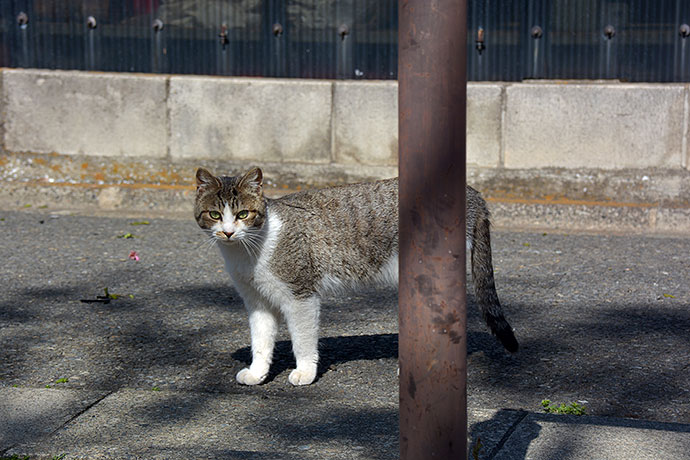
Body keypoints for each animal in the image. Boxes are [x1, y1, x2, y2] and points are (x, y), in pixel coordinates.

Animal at [194, 167, 516, 386]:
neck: (250, 249)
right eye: (214, 215)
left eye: (243, 214)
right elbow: (260, 342)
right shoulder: (257, 301)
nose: (228, 232)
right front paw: (258, 373)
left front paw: (305, 372)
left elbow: (303, 340)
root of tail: (473, 193)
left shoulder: (300, 296)